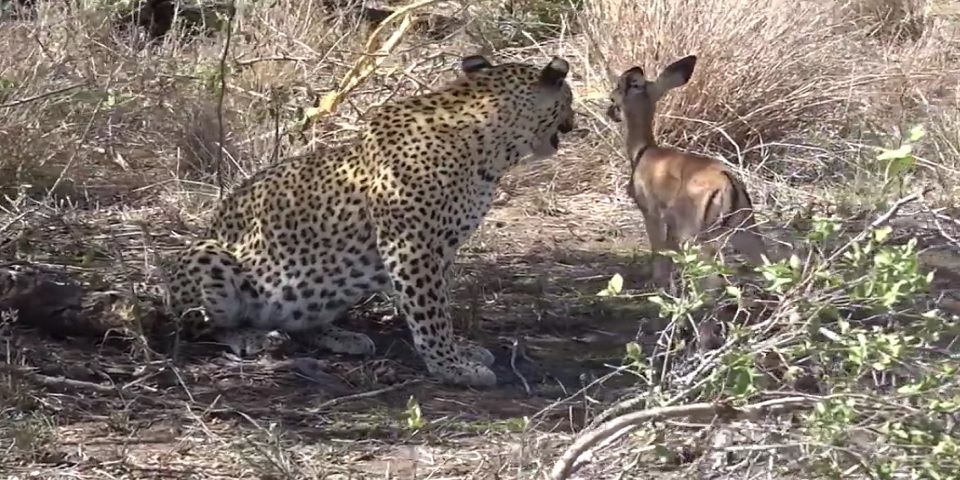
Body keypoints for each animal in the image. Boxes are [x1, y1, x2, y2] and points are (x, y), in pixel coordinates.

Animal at [166, 54, 576, 388]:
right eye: (569, 101)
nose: (574, 122)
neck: (491, 149)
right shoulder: (411, 245)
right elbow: (430, 313)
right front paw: (451, 367)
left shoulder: (443, 249)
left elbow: (441, 303)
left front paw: (460, 351)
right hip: (207, 256)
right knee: (197, 325)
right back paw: (251, 337)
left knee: (300, 320)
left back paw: (340, 336)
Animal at [606, 55, 768, 292]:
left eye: (615, 94)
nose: (610, 111)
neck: (644, 152)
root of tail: (728, 182)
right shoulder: (671, 225)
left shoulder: (651, 214)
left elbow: (659, 252)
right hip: (746, 232)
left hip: (696, 237)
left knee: (711, 278)